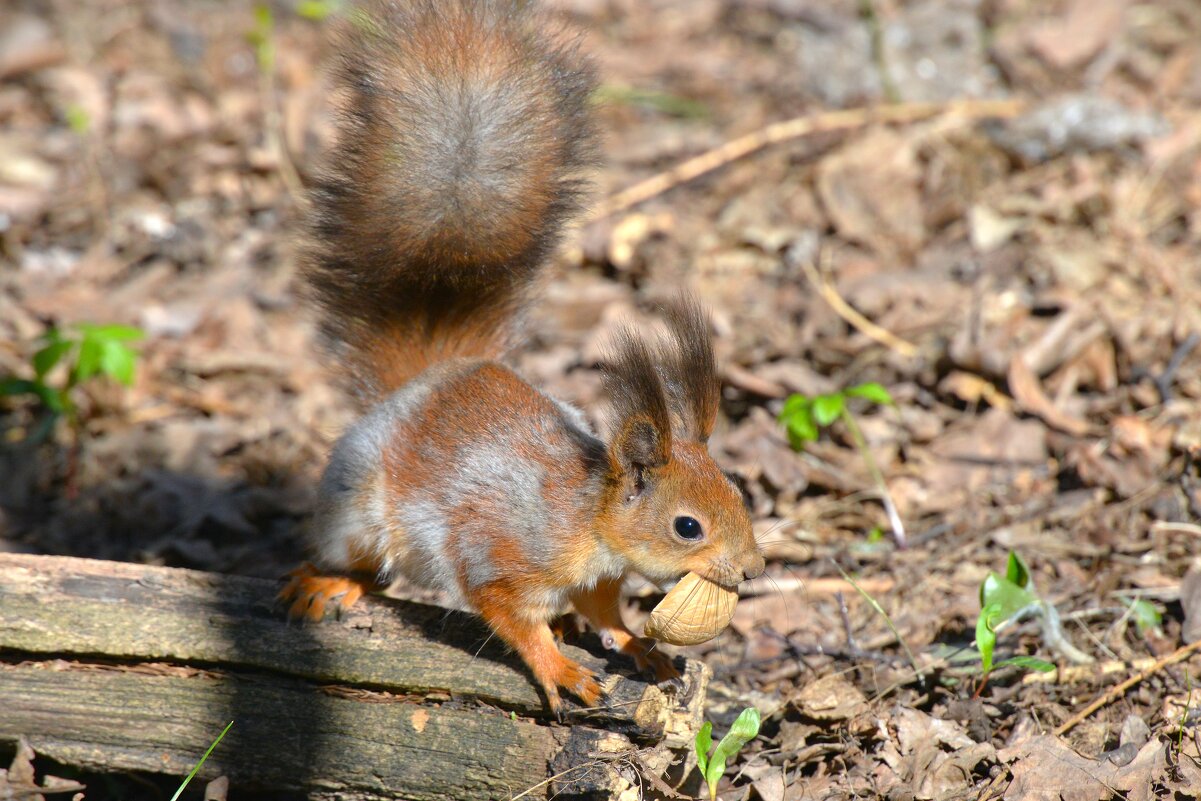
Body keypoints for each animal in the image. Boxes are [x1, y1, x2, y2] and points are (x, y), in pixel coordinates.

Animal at [280, 0, 766, 717]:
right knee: (363, 564)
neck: (590, 523)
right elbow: (507, 614)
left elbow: (607, 612)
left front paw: (637, 644)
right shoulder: (500, 556)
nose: (755, 569)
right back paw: (330, 582)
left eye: (737, 492)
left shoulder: (598, 577)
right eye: (687, 527)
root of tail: (432, 377)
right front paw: (558, 668)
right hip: (355, 507)